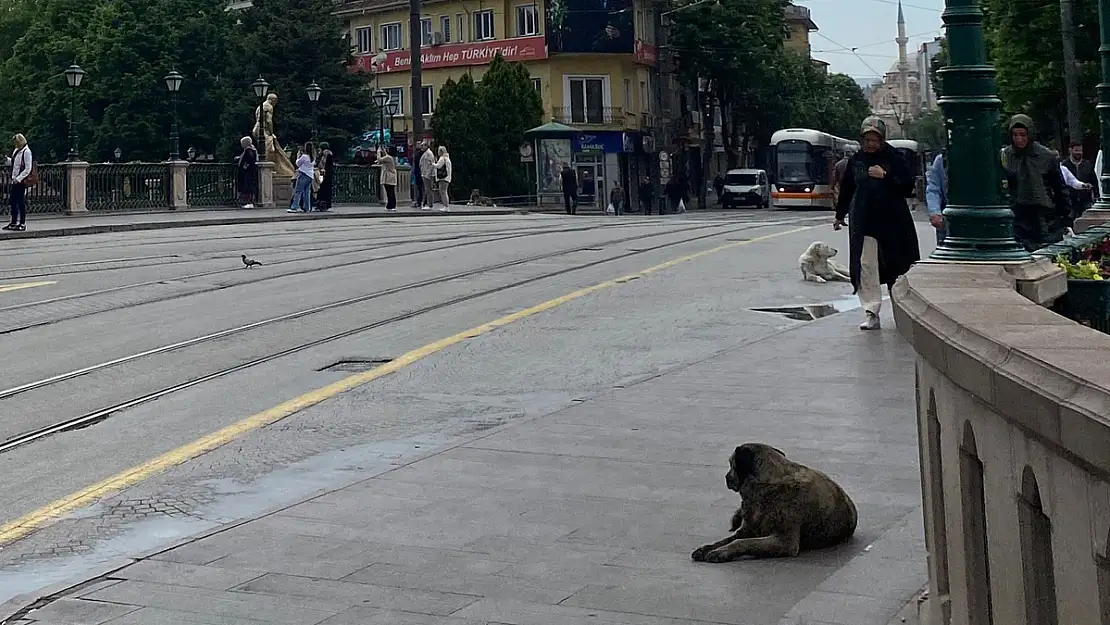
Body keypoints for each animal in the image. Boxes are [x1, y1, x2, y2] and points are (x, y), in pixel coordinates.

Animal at [692, 441, 856, 563]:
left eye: (731, 464)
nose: (726, 477)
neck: (766, 485)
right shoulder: (747, 530)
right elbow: (727, 540)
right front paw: (708, 547)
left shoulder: (784, 542)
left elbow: (742, 542)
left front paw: (722, 552)